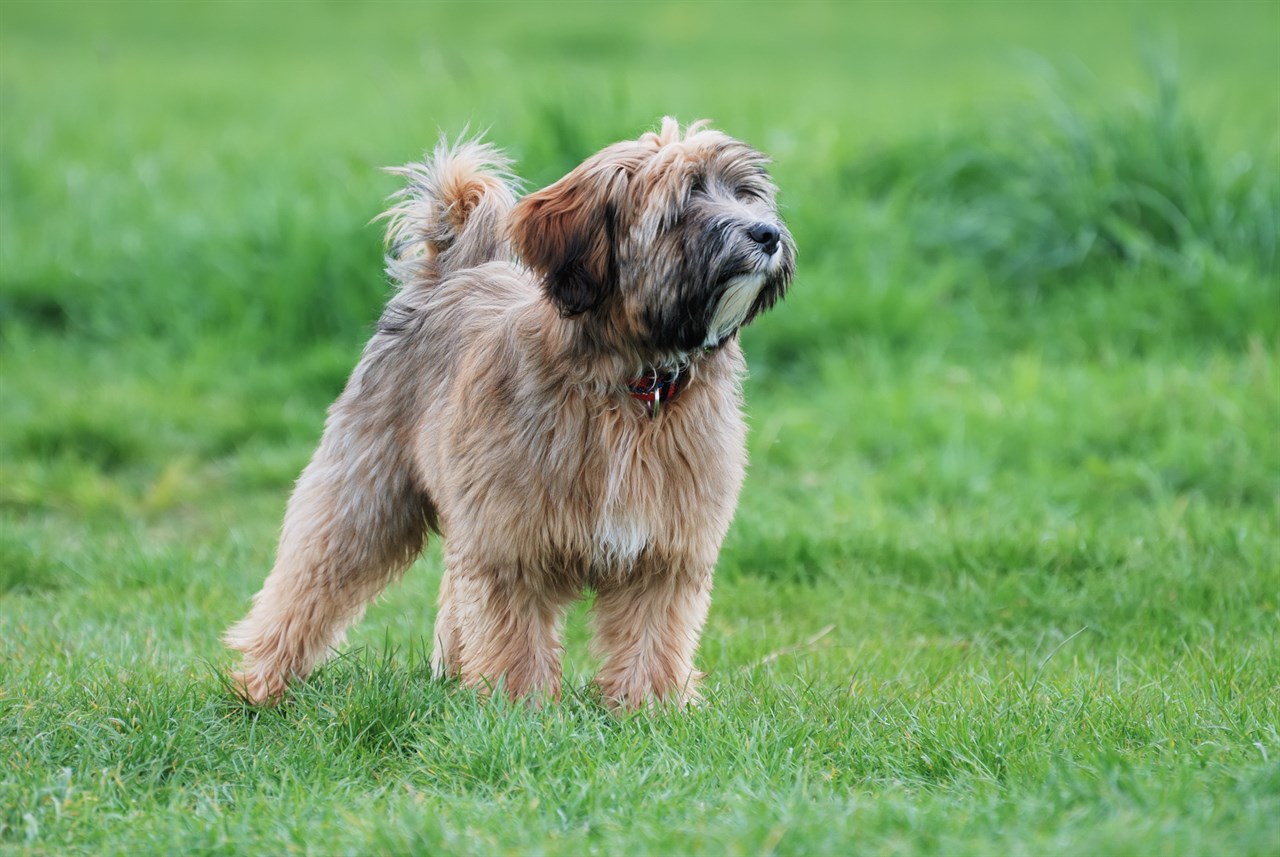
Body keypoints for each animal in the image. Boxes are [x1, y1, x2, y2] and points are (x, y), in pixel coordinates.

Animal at [225, 120, 793, 711]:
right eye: (684, 202)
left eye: (746, 193)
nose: (767, 234)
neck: (633, 385)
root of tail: (448, 275)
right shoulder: (512, 542)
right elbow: (514, 633)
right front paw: (518, 709)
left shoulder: (663, 551)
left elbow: (651, 635)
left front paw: (650, 711)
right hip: (364, 492)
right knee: (307, 581)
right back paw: (261, 684)